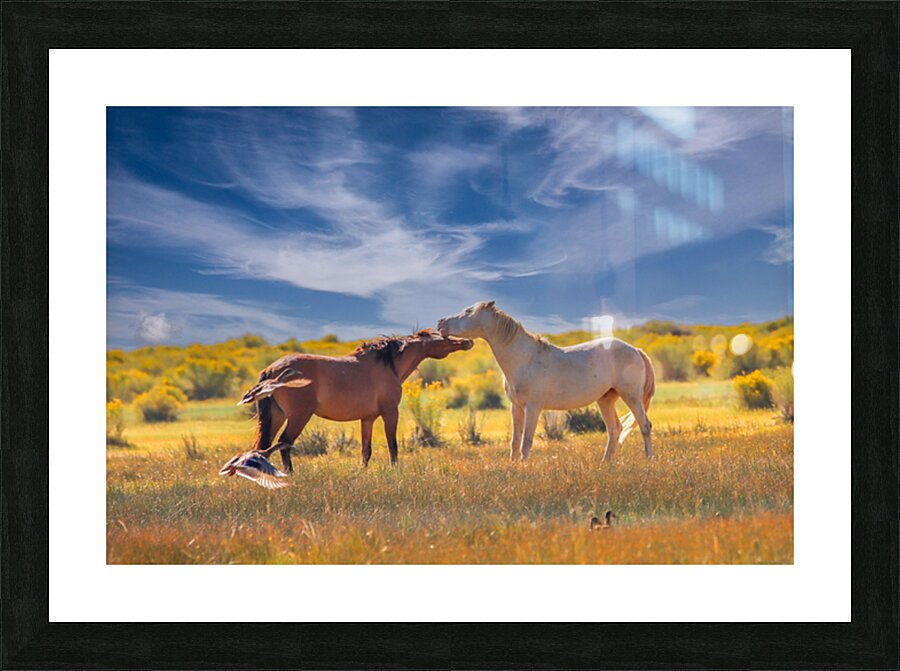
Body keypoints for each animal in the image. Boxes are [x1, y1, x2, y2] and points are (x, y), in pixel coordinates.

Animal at [237, 329, 473, 470]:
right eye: (444, 337)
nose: (467, 341)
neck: (388, 365)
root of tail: (271, 370)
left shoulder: (367, 418)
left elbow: (366, 450)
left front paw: (363, 471)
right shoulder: (390, 412)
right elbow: (393, 445)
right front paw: (395, 470)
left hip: (277, 416)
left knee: (264, 446)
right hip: (298, 416)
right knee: (283, 444)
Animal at [437, 301, 655, 463]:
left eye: (468, 311)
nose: (440, 323)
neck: (525, 359)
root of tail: (636, 350)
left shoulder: (533, 407)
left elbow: (526, 441)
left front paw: (523, 469)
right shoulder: (516, 407)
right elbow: (515, 441)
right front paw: (513, 467)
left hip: (631, 397)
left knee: (644, 426)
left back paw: (648, 461)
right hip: (606, 400)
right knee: (614, 430)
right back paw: (605, 464)